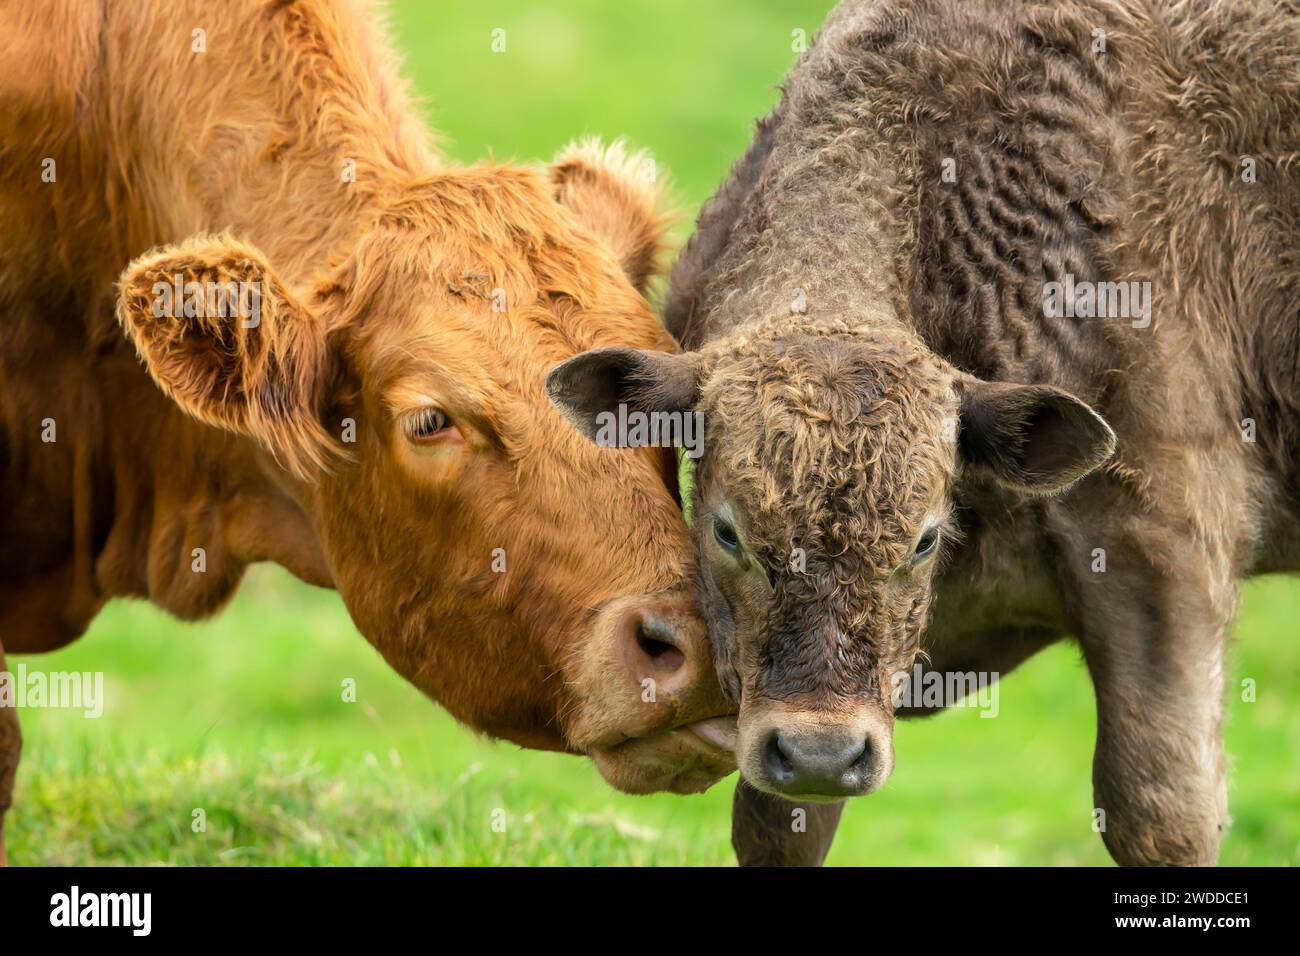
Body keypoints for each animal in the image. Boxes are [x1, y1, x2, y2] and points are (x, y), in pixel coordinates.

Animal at [553, 0, 1300, 868]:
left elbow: (1159, 811)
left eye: (925, 538)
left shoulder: (1164, 554)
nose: (821, 753)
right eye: (726, 531)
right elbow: (777, 825)